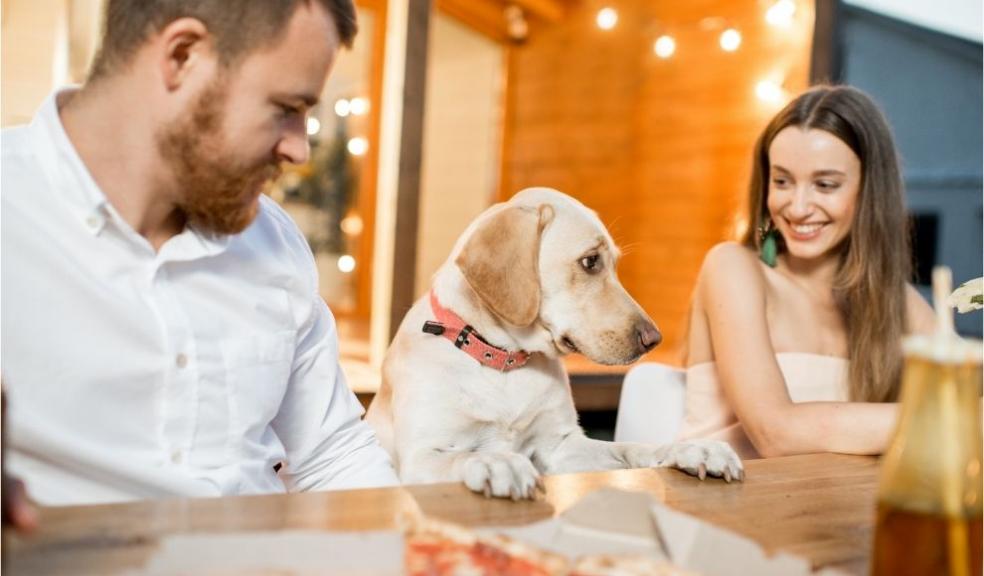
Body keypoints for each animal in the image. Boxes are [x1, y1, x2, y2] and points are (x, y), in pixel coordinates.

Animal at [366, 187, 740, 498]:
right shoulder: (423, 456)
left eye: (614, 264)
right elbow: (459, 459)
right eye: (590, 261)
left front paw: (691, 450)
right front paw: (496, 462)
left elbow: (631, 447)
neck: (503, 363)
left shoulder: (561, 447)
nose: (654, 339)